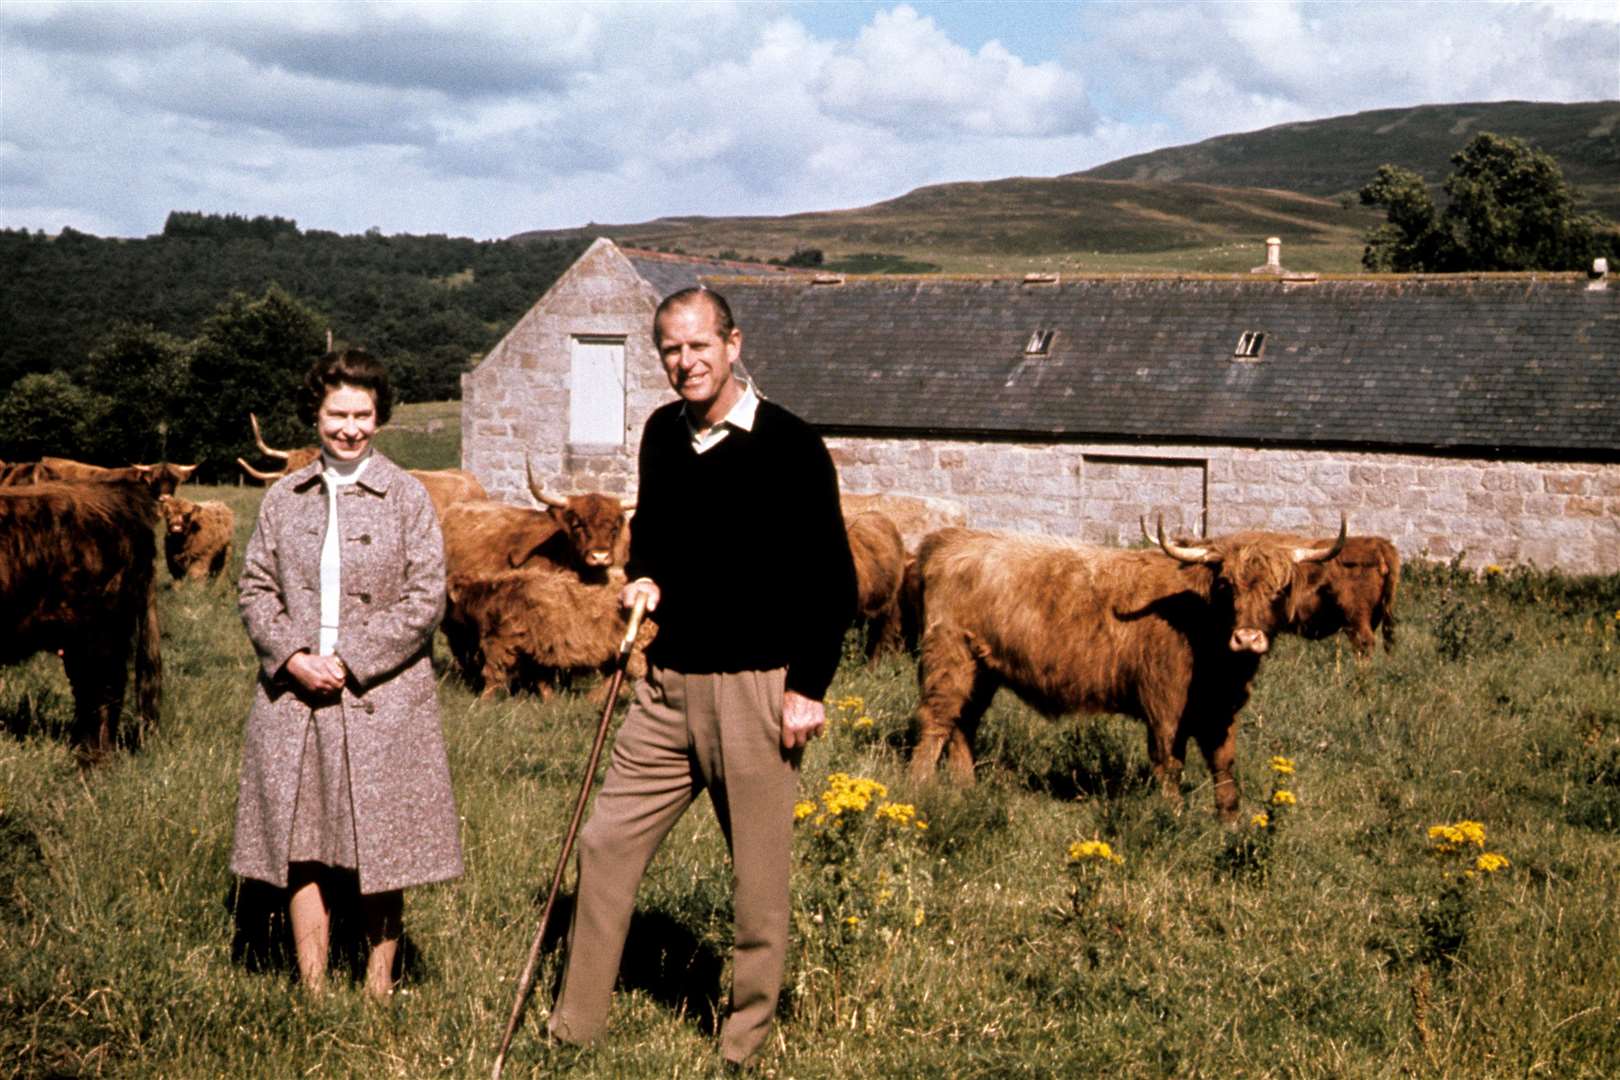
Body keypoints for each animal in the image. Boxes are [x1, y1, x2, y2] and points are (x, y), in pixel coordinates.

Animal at [443, 566, 651, 702]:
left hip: (633, 650)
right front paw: (550, 702)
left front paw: (483, 701)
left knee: (636, 673)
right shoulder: (536, 649)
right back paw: (594, 699)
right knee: (613, 678)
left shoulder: (500, 642)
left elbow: (492, 673)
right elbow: (542, 680)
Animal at [907, 518, 1347, 819]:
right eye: (1227, 586)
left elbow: (1224, 764)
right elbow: (1169, 762)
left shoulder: (1220, 710)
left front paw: (1230, 822)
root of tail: (952, 539)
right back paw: (921, 788)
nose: (1248, 638)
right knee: (936, 720)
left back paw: (966, 788)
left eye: (1280, 589)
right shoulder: (1164, 705)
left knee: (962, 724)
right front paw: (1173, 816)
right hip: (949, 656)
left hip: (982, 670)